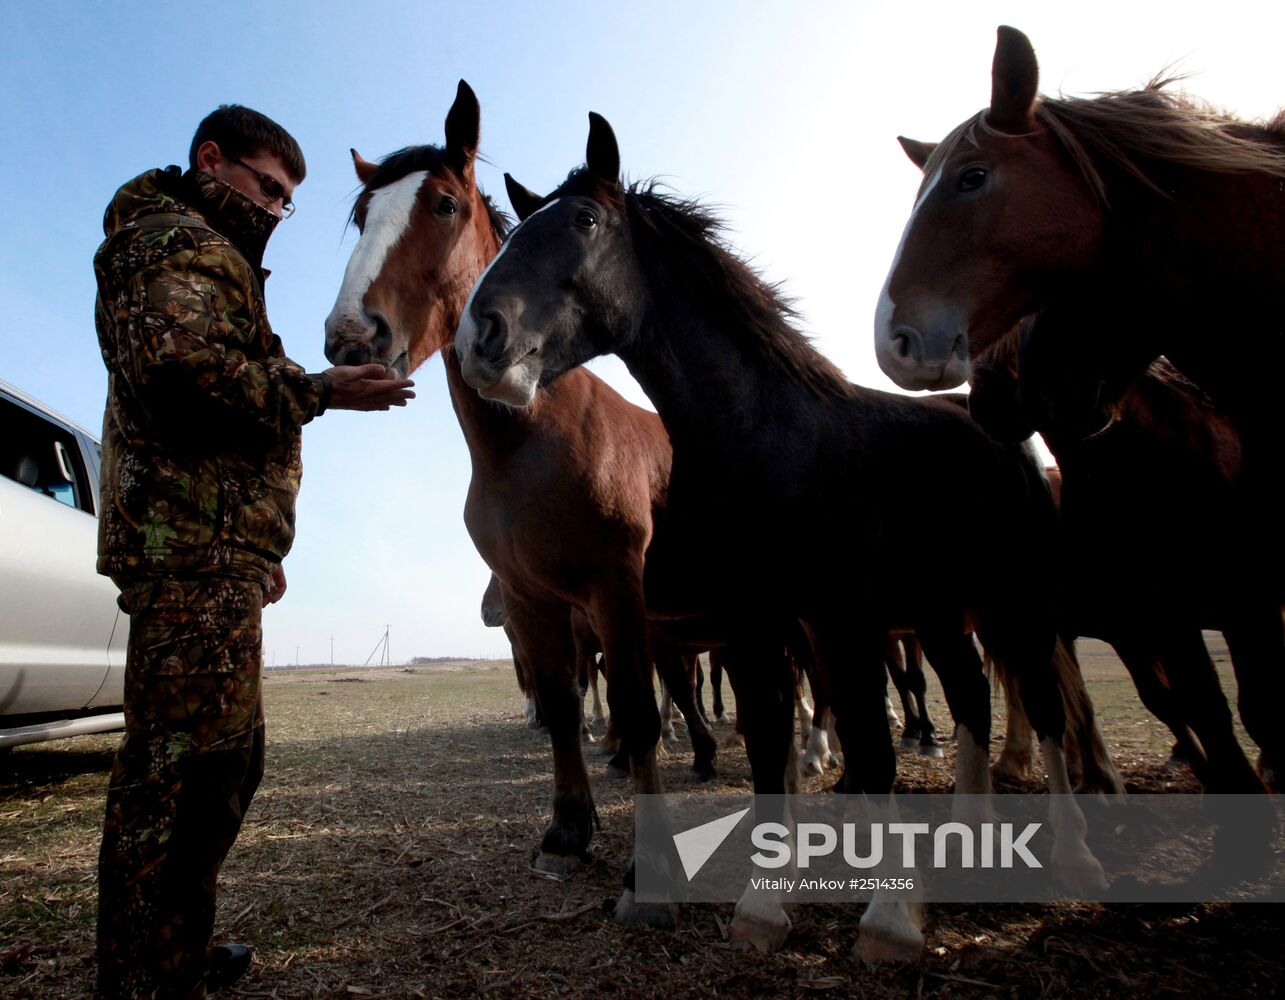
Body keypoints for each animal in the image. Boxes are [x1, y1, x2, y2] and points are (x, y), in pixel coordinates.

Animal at [454, 111, 1105, 956]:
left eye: (584, 221)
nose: (478, 337)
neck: (773, 444)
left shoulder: (835, 618)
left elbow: (867, 742)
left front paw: (889, 918)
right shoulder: (754, 622)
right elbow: (767, 740)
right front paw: (765, 906)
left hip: (1010, 600)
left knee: (1045, 707)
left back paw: (1074, 858)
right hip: (936, 611)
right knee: (971, 699)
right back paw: (971, 841)